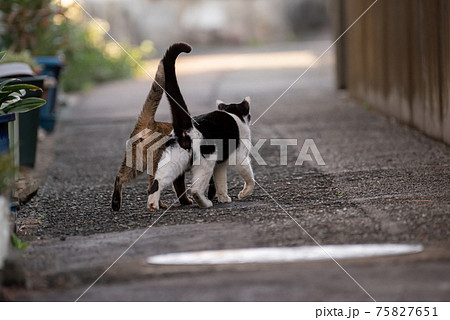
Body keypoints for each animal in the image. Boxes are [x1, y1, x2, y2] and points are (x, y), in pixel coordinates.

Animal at [147, 42, 253, 210]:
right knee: (196, 189)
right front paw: (243, 193)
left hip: (173, 162)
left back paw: (153, 204)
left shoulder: (219, 165)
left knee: (158, 182)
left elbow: (221, 181)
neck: (233, 114)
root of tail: (187, 127)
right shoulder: (239, 155)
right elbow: (250, 177)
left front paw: (224, 198)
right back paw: (205, 203)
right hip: (205, 164)